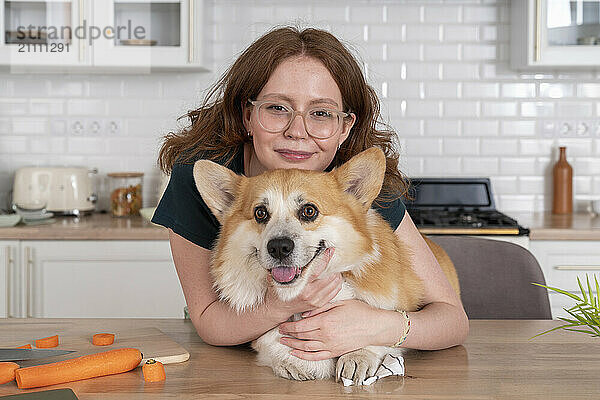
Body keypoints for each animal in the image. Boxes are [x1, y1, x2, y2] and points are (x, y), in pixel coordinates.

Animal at [192, 146, 460, 384]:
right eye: (260, 213)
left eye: (309, 211)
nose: (278, 247)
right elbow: (271, 340)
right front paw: (296, 362)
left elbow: (381, 328)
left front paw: (357, 356)